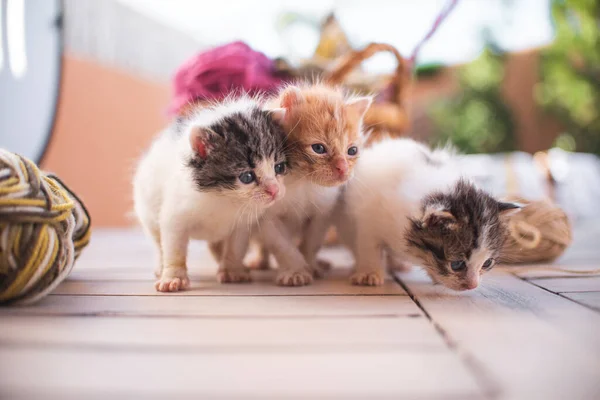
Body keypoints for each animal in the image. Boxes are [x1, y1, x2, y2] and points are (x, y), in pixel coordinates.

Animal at [134, 95, 288, 292]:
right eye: (247, 177)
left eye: (279, 167)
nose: (275, 190)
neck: (220, 197)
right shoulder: (174, 215)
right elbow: (173, 247)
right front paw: (173, 277)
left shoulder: (243, 222)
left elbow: (236, 246)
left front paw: (232, 270)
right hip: (147, 208)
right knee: (157, 240)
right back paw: (160, 267)